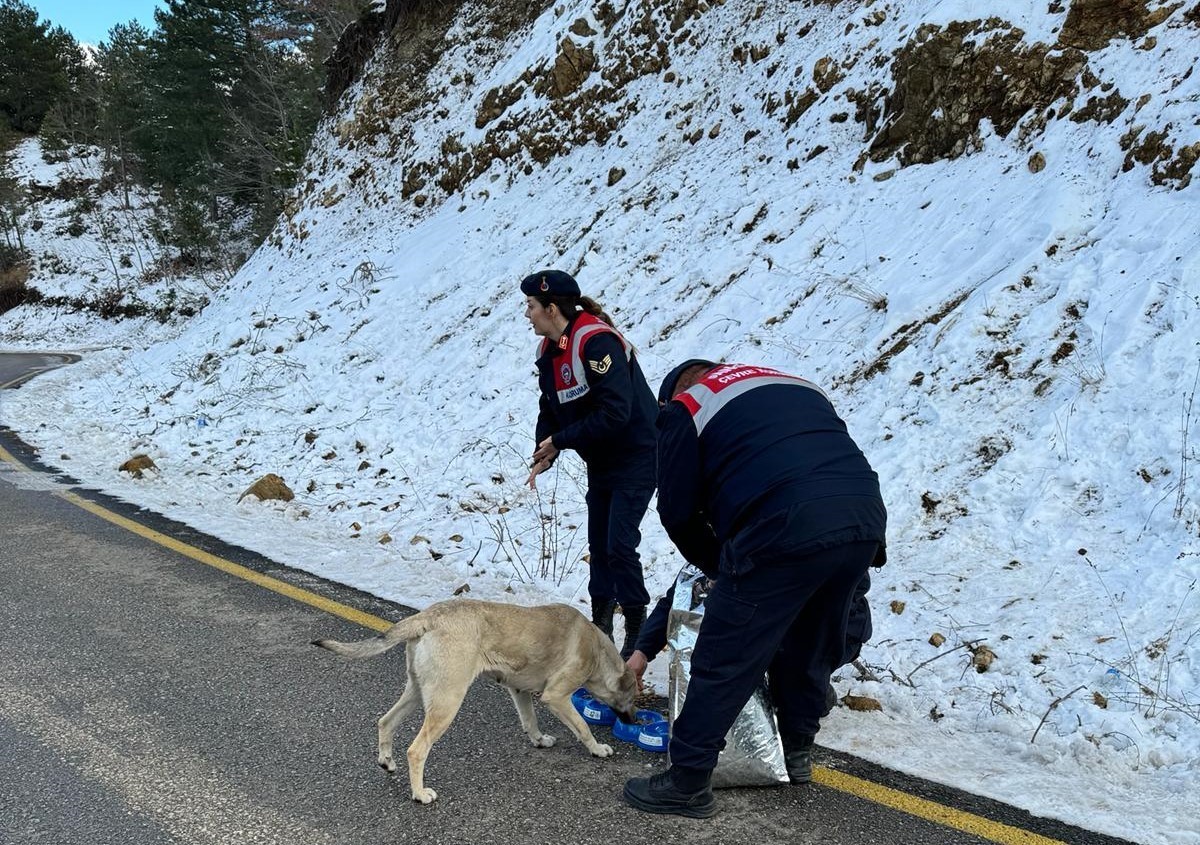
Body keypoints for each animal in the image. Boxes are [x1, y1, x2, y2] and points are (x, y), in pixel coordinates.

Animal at [314, 597, 643, 801]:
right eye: (633, 697)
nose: (636, 720)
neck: (598, 650)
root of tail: (427, 616)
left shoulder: (519, 691)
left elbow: (530, 721)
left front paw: (539, 739)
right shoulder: (558, 696)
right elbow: (582, 728)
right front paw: (598, 749)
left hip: (418, 691)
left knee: (385, 721)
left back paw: (386, 760)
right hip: (447, 701)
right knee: (417, 750)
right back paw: (420, 793)